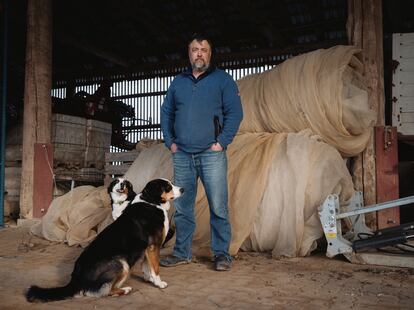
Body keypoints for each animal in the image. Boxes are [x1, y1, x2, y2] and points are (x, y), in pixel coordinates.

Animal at [26, 178, 185, 302]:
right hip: (121, 263)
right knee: (106, 291)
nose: (183, 189)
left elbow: (148, 267)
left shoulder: (147, 248)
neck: (150, 202)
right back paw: (126, 289)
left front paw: (150, 279)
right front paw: (159, 283)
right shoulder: (153, 246)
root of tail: (76, 279)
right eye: (168, 186)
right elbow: (155, 267)